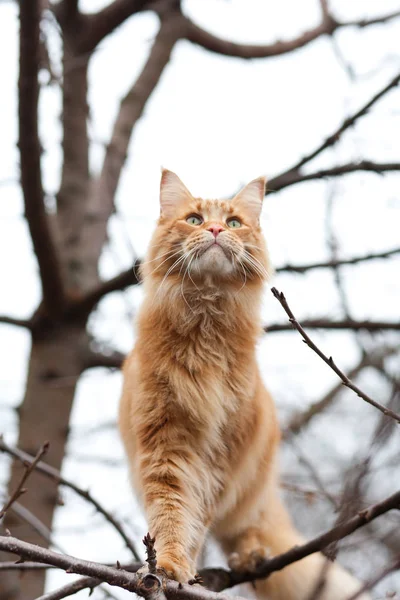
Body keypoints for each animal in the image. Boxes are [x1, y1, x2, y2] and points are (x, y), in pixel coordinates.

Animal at [119, 170, 368, 600]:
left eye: (234, 223)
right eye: (195, 219)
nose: (217, 230)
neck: (205, 328)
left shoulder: (221, 457)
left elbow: (196, 521)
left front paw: (183, 569)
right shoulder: (165, 448)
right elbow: (172, 514)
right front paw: (167, 565)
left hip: (252, 483)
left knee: (248, 529)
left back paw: (249, 558)